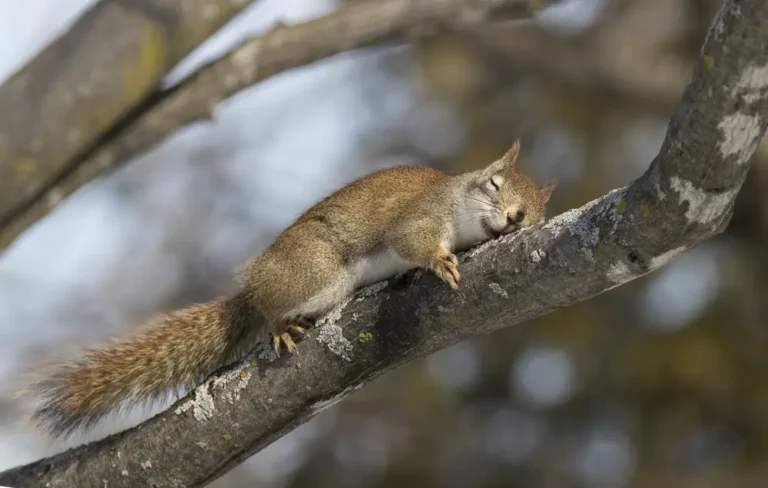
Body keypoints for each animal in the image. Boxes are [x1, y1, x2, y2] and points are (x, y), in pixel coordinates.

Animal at [24, 140, 556, 438]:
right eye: (495, 183)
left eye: (535, 214)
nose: (514, 217)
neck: (460, 215)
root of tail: (255, 284)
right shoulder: (418, 216)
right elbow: (414, 241)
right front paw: (439, 261)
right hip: (317, 273)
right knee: (270, 309)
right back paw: (280, 326)